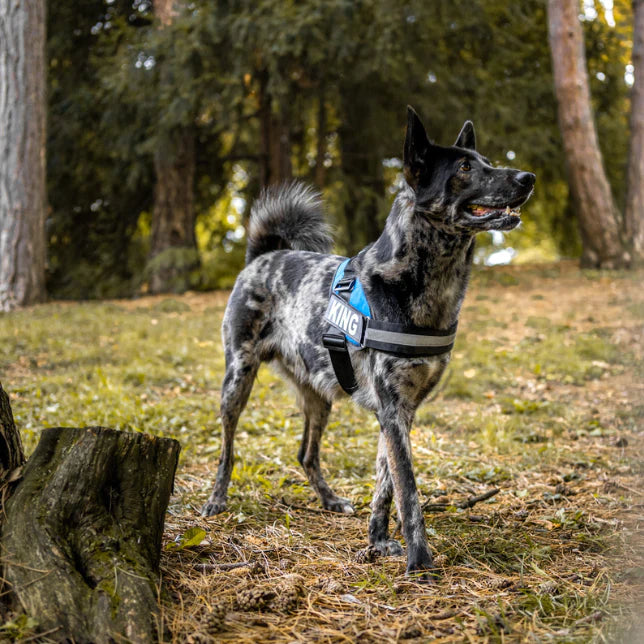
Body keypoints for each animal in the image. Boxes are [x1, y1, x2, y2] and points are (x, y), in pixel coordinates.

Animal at [201, 105, 532, 580]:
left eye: (485, 160)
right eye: (465, 168)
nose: (528, 177)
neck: (427, 282)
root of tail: (264, 255)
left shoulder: (402, 412)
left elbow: (385, 485)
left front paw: (377, 542)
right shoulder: (392, 410)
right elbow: (408, 492)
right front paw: (419, 562)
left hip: (319, 396)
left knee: (306, 453)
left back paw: (329, 500)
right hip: (237, 378)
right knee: (227, 448)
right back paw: (217, 500)